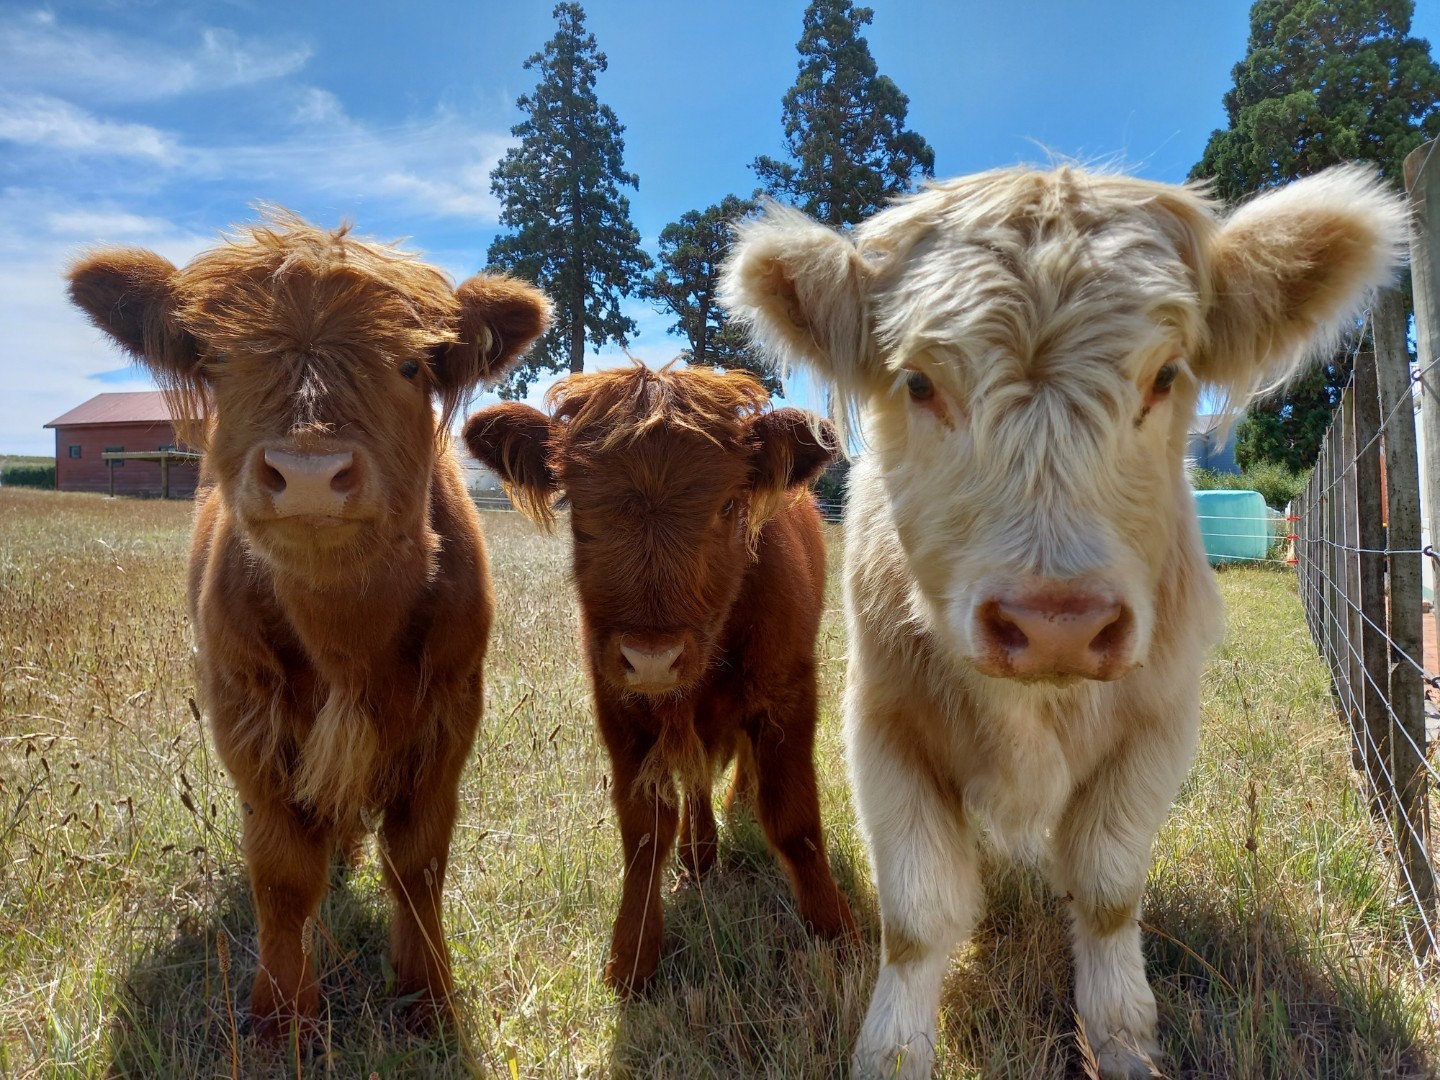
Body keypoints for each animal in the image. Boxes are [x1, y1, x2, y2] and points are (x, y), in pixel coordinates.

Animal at [66, 213, 550, 1042]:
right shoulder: (244, 708)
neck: (346, 634)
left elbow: (418, 860)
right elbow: (284, 870)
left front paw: (427, 997)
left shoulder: (452, 709)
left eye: (412, 365)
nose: (310, 476)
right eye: (220, 359)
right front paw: (282, 1013)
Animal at [466, 365, 858, 996]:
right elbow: (646, 832)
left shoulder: (788, 695)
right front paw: (632, 957)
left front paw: (837, 932)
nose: (651, 658)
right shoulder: (621, 712)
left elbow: (795, 820)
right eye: (576, 504)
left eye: (728, 504)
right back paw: (699, 854)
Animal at [720, 164, 1405, 1077]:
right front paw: (891, 1050)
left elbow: (1109, 894)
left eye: (1166, 374)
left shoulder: (1157, 728)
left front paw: (1122, 1040)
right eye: (919, 382)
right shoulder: (883, 729)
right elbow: (917, 914)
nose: (1055, 624)